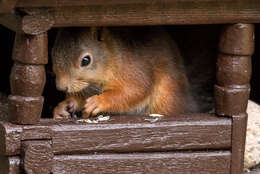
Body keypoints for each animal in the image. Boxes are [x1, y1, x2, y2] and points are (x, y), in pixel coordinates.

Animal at [51, 27, 197, 119]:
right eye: (52, 53)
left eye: (86, 60)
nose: (61, 87)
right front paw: (63, 107)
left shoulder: (135, 69)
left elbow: (134, 90)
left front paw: (98, 101)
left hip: (167, 98)